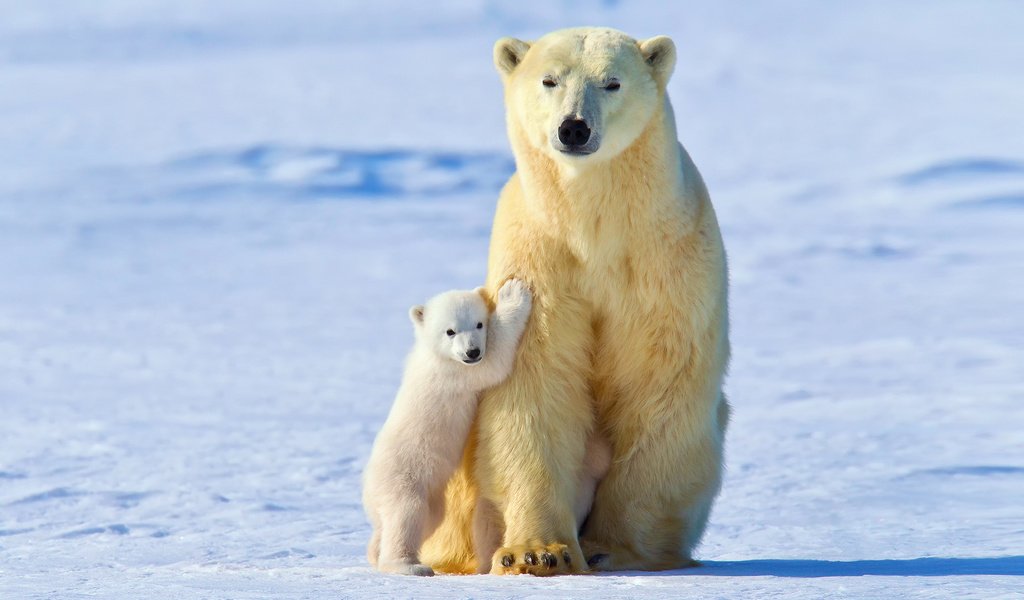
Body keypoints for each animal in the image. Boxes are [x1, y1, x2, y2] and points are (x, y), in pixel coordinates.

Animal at [364, 280, 532, 573]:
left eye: (478, 323)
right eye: (450, 331)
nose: (472, 351)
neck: (434, 354)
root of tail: (367, 488)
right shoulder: (455, 373)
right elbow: (494, 362)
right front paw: (512, 294)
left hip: (431, 497)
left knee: (421, 520)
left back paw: (375, 552)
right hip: (403, 477)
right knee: (406, 514)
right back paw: (409, 565)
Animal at [419, 28, 733, 573]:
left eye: (612, 82)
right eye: (550, 79)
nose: (574, 129)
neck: (594, 227)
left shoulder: (666, 263)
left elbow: (659, 383)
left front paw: (614, 547)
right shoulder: (540, 259)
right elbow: (536, 384)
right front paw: (538, 552)